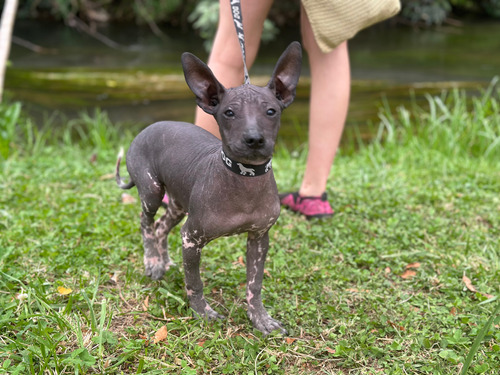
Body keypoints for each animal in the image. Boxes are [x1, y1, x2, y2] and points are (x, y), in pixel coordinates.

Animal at [117, 41, 302, 334]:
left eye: (271, 111)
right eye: (229, 112)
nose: (254, 139)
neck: (245, 178)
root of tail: (149, 127)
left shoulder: (259, 238)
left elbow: (255, 285)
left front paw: (260, 318)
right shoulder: (191, 239)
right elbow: (194, 282)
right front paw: (201, 312)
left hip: (178, 205)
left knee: (161, 227)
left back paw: (164, 260)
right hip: (152, 192)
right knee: (146, 223)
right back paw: (152, 262)